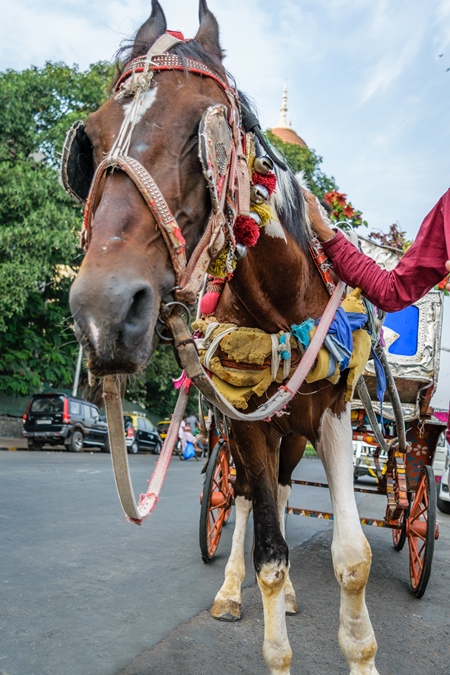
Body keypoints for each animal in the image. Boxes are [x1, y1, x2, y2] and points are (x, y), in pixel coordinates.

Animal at [68, 2, 380, 672]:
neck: (283, 308)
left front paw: (361, 652)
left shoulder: (334, 414)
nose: (103, 311)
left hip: (294, 433)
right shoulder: (245, 424)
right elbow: (267, 550)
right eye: (93, 141)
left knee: (285, 494)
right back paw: (234, 591)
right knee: (242, 503)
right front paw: (266, 622)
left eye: (202, 133)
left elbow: (352, 557)